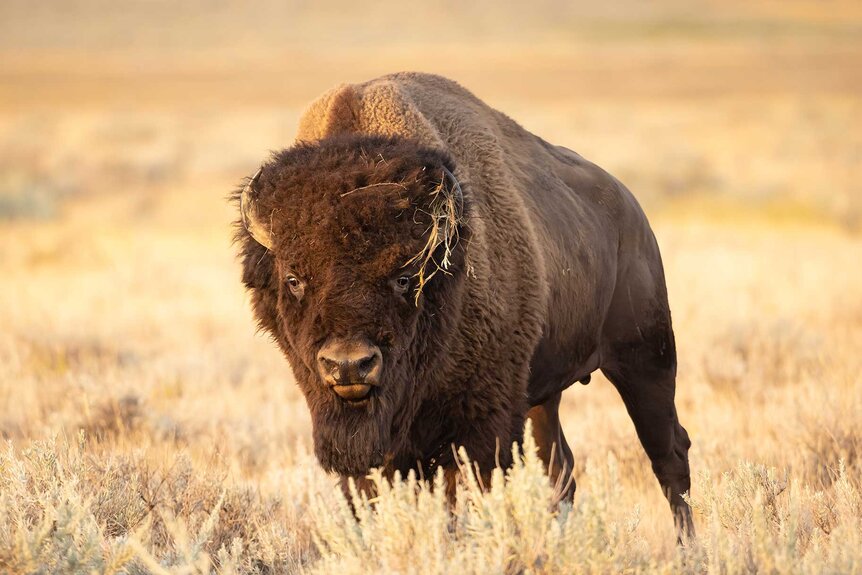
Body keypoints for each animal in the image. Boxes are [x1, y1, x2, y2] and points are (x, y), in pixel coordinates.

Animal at [235, 72, 696, 540]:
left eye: (405, 277)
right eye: (294, 279)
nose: (349, 366)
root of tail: (633, 213)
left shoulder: (476, 428)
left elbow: (461, 505)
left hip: (646, 359)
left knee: (669, 455)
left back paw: (688, 547)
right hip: (544, 395)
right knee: (561, 469)